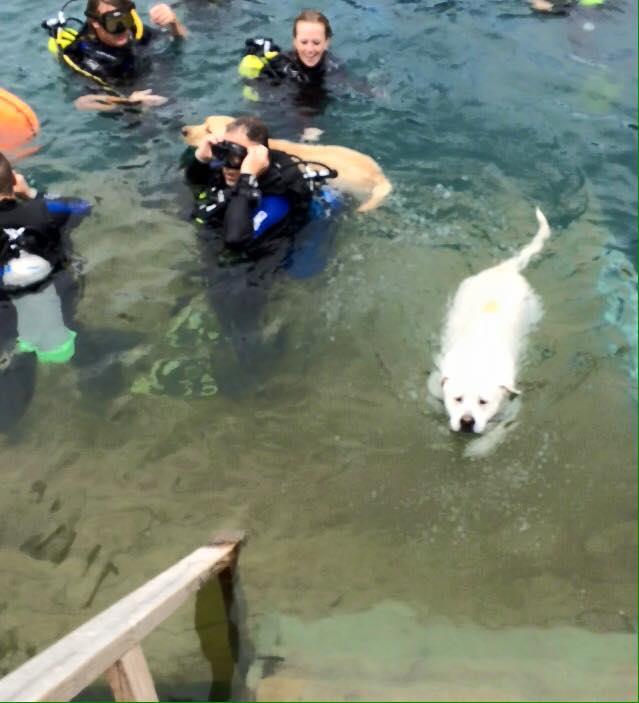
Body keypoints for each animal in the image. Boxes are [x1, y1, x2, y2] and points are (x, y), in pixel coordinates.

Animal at [432, 205, 552, 434]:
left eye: (483, 402)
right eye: (457, 399)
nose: (467, 421)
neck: (477, 360)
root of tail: (505, 269)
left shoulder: (510, 408)